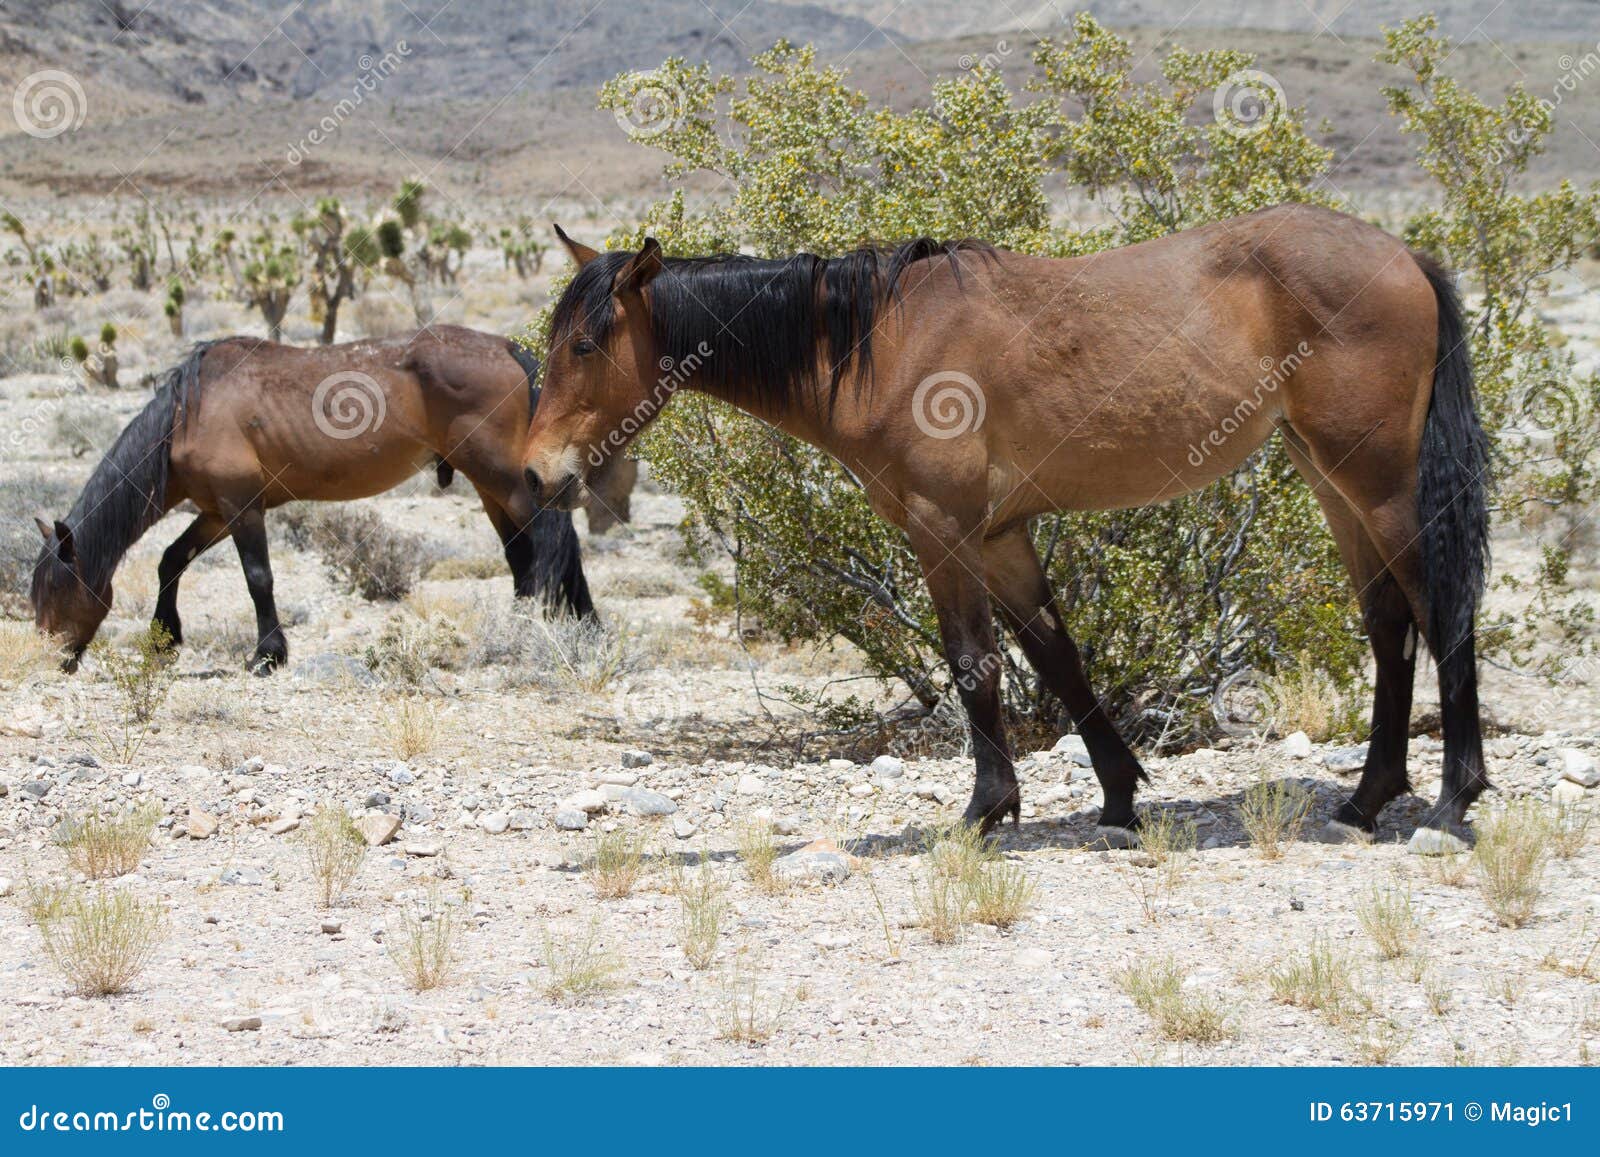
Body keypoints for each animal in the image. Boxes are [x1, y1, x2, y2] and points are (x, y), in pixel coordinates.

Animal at [31, 325, 594, 673]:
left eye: (55, 589)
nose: (51, 658)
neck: (188, 414)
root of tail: (506, 348)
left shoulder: (241, 507)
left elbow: (258, 578)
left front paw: (267, 656)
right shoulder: (215, 512)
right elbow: (170, 561)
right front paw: (164, 640)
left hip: (503, 479)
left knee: (551, 542)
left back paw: (540, 626)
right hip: (490, 487)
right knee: (527, 552)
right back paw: (580, 626)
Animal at [522, 206, 1491, 855]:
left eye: (585, 345)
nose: (537, 473)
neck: (880, 342)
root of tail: (1403, 254)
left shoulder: (944, 531)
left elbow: (972, 662)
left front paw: (983, 810)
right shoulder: (1001, 538)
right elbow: (1057, 657)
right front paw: (1118, 799)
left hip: (1380, 484)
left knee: (1441, 611)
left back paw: (1452, 801)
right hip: (1335, 483)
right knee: (1389, 624)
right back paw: (1366, 802)